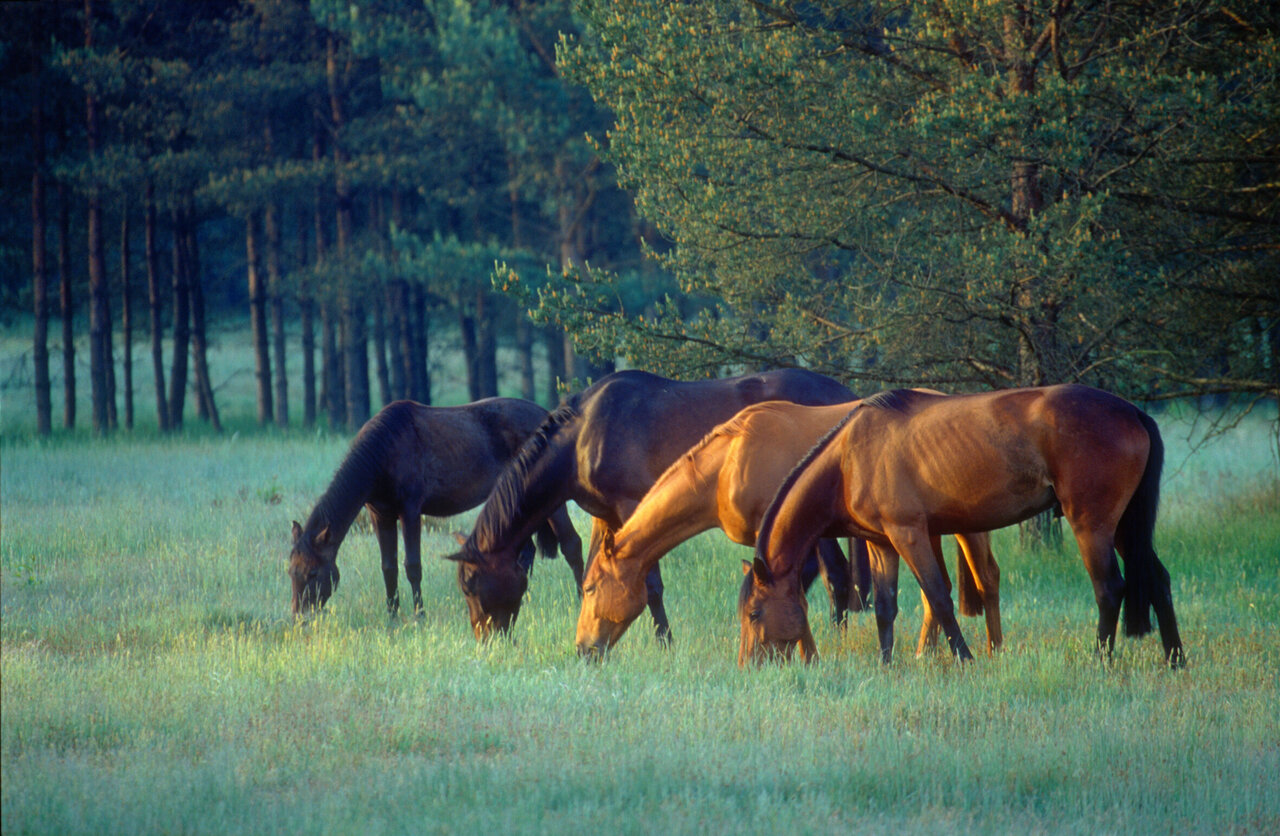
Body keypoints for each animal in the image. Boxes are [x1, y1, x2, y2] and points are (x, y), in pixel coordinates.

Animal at [288, 398, 583, 621]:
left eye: (313, 573)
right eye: (291, 572)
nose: (300, 617)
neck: (382, 452)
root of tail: (548, 416)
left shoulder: (410, 511)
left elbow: (412, 566)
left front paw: (420, 615)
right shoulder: (380, 515)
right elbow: (388, 567)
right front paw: (392, 616)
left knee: (571, 544)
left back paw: (581, 597)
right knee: (525, 552)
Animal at [445, 368, 866, 641]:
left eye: (470, 585)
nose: (487, 640)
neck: (583, 438)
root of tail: (846, 398)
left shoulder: (632, 508)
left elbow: (651, 585)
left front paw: (665, 639)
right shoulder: (606, 518)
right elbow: (594, 572)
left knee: (833, 573)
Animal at [575, 399, 1000, 658]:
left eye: (590, 588)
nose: (582, 649)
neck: (728, 466)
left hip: (963, 527)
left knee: (981, 579)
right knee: (939, 590)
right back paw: (927, 653)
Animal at [739, 385, 1184, 668]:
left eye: (755, 613)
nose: (748, 666)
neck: (849, 459)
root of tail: (1132, 411)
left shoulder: (909, 534)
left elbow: (938, 597)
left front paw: (964, 658)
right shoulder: (882, 544)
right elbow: (884, 607)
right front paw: (886, 663)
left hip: (1092, 524)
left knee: (1109, 588)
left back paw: (1100, 660)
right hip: (1125, 525)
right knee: (1158, 579)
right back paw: (1175, 659)